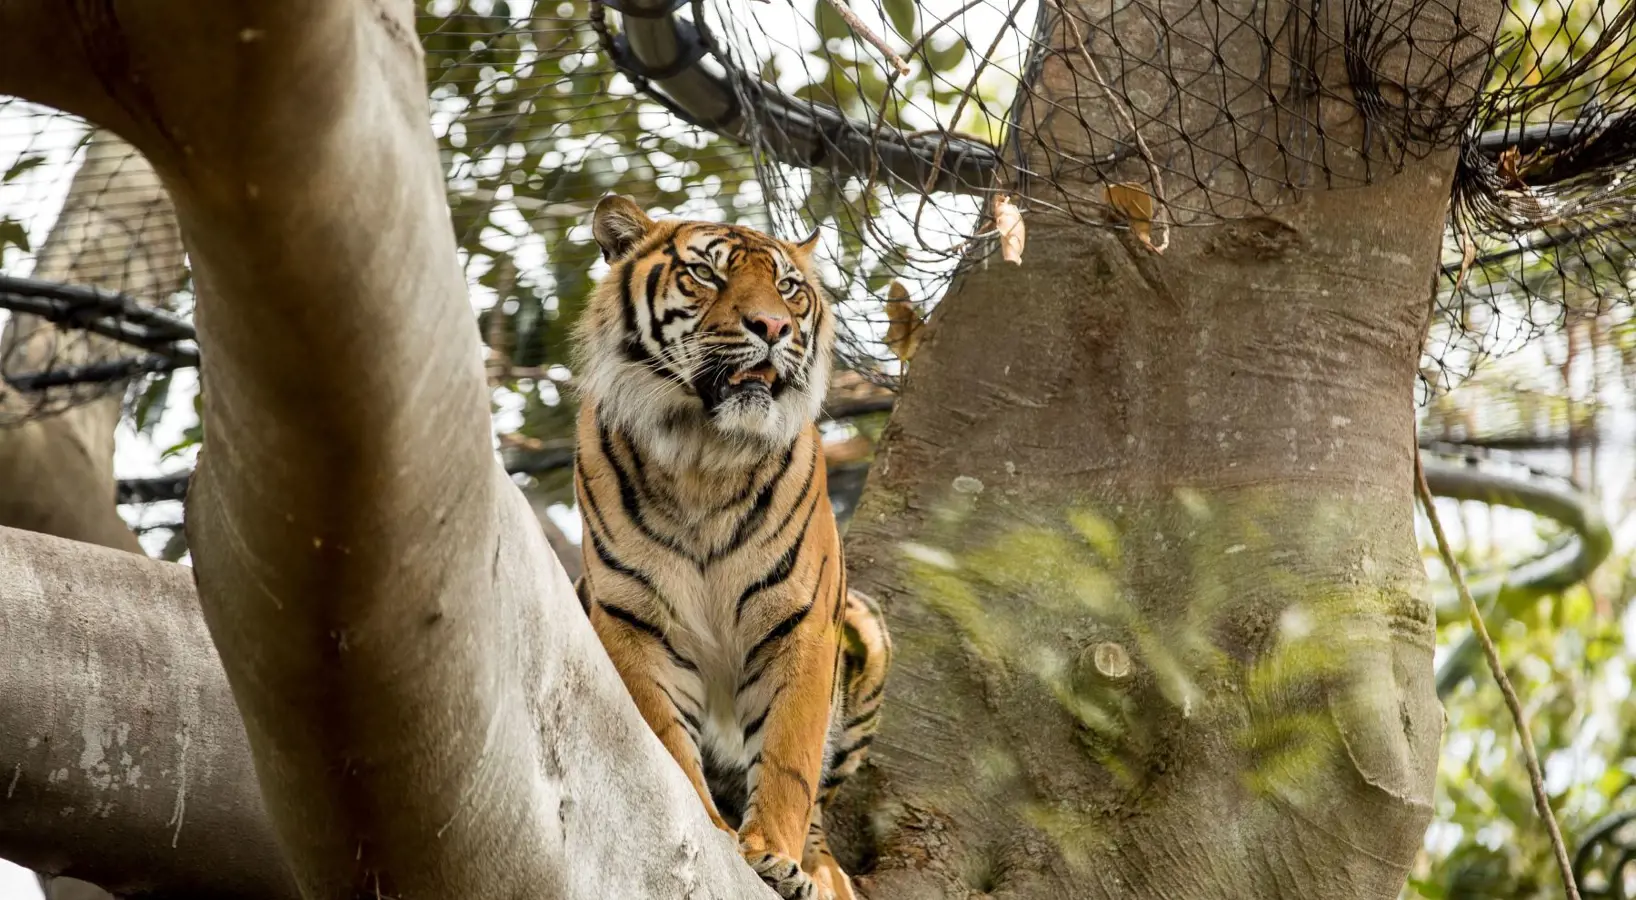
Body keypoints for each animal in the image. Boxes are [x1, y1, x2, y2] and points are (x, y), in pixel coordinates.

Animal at [570, 195, 892, 900]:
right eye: (706, 275)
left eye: (789, 288)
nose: (772, 326)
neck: (703, 455)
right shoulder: (633, 621)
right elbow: (666, 741)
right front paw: (716, 832)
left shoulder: (801, 623)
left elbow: (790, 761)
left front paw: (773, 855)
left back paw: (822, 871)